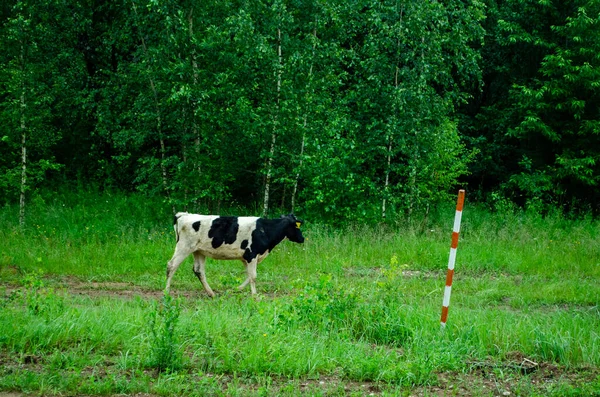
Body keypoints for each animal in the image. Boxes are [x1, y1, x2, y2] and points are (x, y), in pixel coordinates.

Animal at [164, 213, 304, 294]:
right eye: (297, 226)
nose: (302, 238)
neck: (265, 230)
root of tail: (183, 215)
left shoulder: (246, 257)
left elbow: (249, 275)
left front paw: (237, 289)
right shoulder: (251, 255)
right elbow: (253, 276)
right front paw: (255, 297)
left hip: (198, 251)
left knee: (199, 270)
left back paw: (211, 293)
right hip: (184, 247)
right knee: (171, 266)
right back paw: (166, 292)